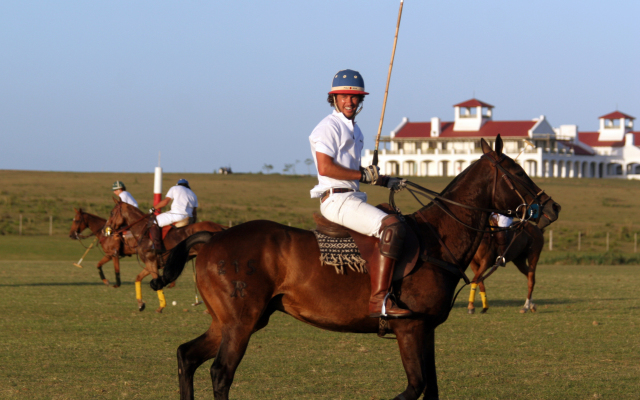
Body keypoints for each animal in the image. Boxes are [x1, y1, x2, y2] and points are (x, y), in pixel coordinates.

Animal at [151, 135, 560, 400]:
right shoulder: (408, 328)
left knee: (186, 356)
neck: (437, 237)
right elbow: (415, 387)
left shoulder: (425, 330)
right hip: (241, 322)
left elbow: (431, 389)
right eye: (517, 172)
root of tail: (211, 239)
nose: (552, 208)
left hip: (232, 321)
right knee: (221, 374)